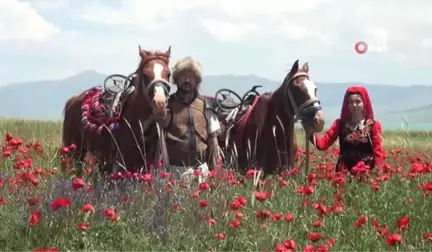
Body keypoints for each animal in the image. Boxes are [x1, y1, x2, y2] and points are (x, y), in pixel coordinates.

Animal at [61, 45, 172, 175]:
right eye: (145, 75)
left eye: (168, 74)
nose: (159, 103)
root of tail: (72, 100)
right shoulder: (126, 161)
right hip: (74, 148)